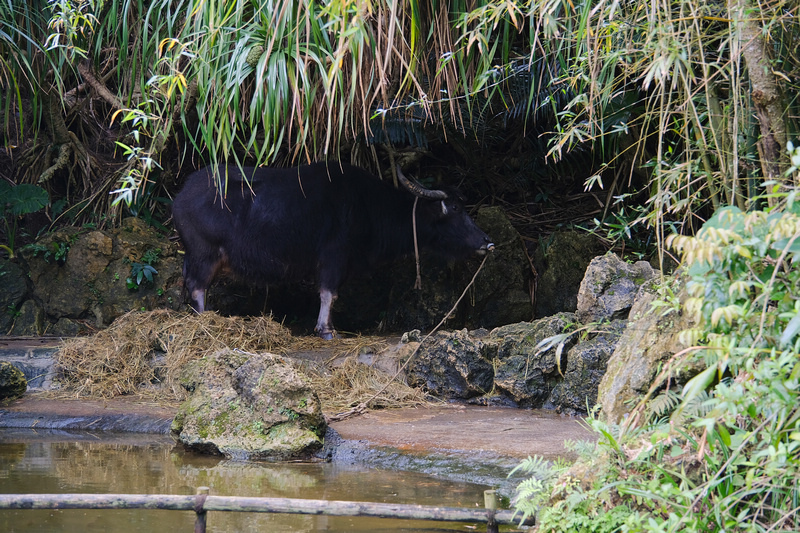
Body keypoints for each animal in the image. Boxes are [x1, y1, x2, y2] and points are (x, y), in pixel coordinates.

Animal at [175, 160, 494, 338]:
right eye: (455, 208)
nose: (487, 242)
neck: (368, 206)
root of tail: (181, 195)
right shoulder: (333, 257)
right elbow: (329, 292)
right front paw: (326, 330)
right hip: (205, 254)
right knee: (197, 286)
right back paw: (204, 320)